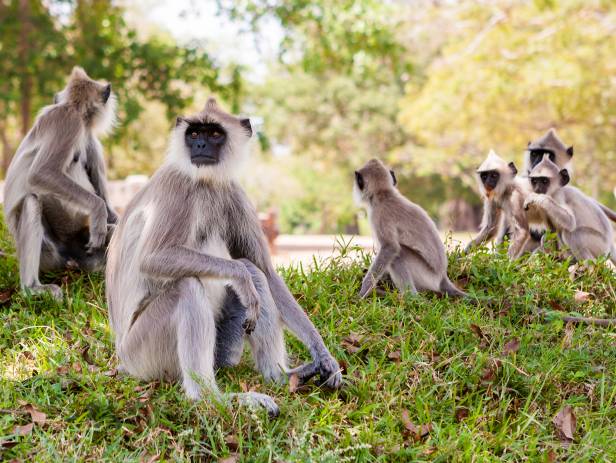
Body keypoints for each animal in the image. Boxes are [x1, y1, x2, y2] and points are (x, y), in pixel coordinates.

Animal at [3, 66, 117, 300]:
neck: (74, 109)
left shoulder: (88, 136)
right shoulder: (69, 122)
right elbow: (40, 173)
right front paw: (99, 210)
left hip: (85, 248)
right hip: (49, 254)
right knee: (32, 202)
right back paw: (31, 288)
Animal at [108, 99, 344, 416]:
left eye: (214, 133)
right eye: (195, 134)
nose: (200, 145)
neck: (205, 181)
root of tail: (123, 359)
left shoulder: (233, 191)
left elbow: (266, 272)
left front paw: (323, 354)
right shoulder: (178, 186)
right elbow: (152, 258)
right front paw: (240, 277)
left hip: (221, 347)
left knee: (254, 274)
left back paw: (280, 377)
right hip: (142, 354)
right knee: (188, 286)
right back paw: (212, 399)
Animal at [354, 159, 464, 298]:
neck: (384, 194)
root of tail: (442, 277)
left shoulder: (379, 214)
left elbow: (390, 248)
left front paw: (362, 293)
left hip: (427, 277)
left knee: (399, 253)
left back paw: (410, 297)